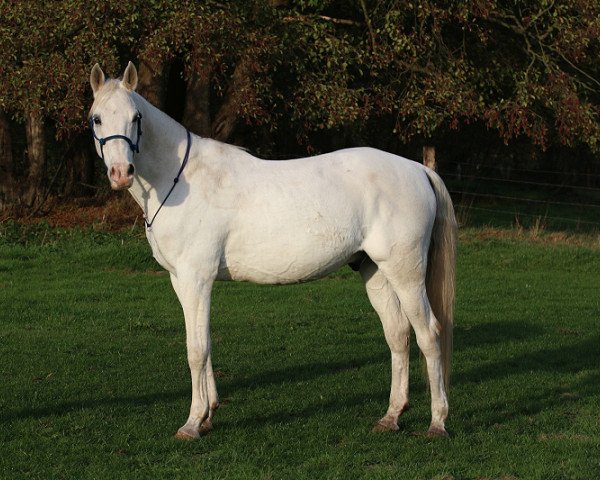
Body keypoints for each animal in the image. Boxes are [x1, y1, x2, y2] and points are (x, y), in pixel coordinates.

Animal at [88, 62, 454, 438]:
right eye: (97, 119)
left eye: (136, 117)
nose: (121, 172)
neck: (180, 179)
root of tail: (418, 169)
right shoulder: (182, 280)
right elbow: (204, 342)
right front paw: (209, 414)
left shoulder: (195, 278)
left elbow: (196, 350)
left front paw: (192, 423)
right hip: (375, 270)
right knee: (397, 335)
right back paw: (391, 416)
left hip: (406, 272)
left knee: (428, 334)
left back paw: (438, 421)